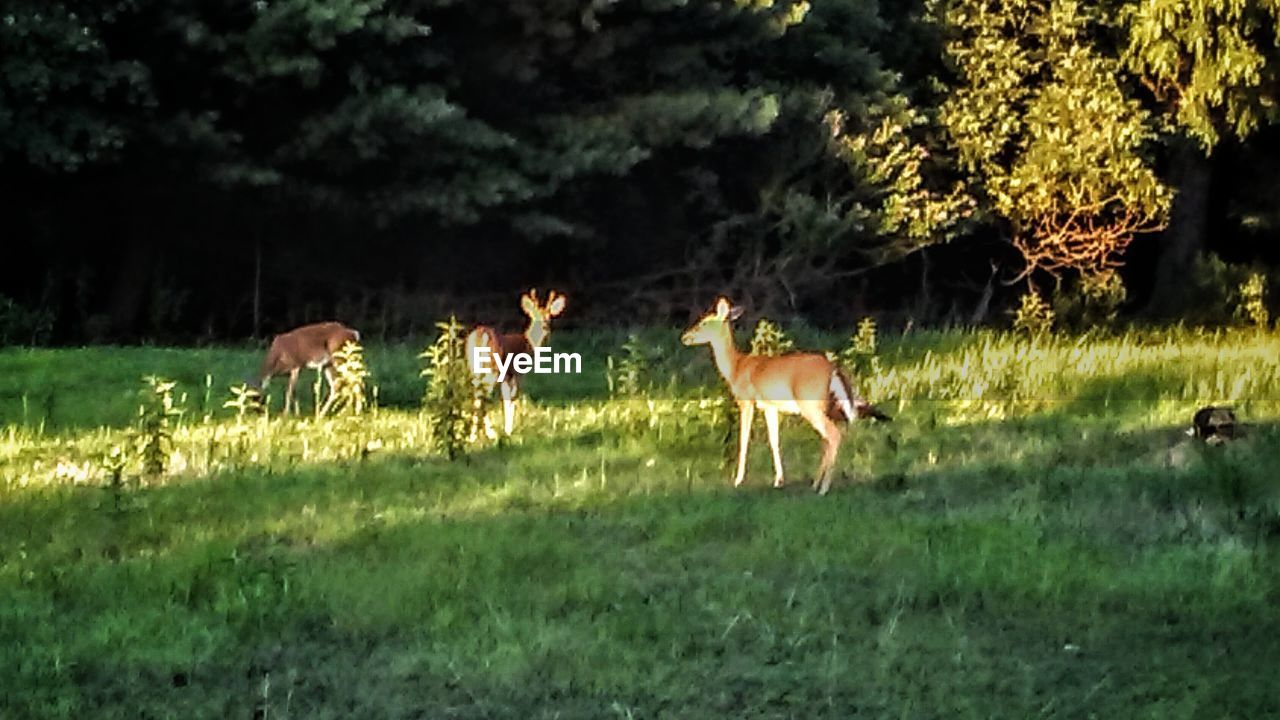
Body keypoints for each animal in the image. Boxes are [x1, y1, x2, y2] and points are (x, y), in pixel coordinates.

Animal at [468, 288, 568, 435]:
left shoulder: (506, 375)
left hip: (474, 367)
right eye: (534, 317)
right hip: (491, 368)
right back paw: (489, 433)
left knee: (476, 395)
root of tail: (482, 335)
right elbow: (512, 398)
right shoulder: (517, 372)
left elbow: (505, 398)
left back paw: (473, 434)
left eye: (549, 317)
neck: (527, 344)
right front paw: (509, 430)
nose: (545, 327)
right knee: (482, 396)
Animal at [680, 295, 890, 491]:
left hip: (810, 403)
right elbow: (774, 440)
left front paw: (738, 480)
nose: (684, 337)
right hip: (827, 405)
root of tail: (833, 368)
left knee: (833, 435)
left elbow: (744, 440)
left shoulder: (746, 400)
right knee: (828, 438)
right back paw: (815, 483)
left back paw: (823, 487)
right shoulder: (770, 406)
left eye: (704, 322)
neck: (736, 368)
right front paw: (778, 480)